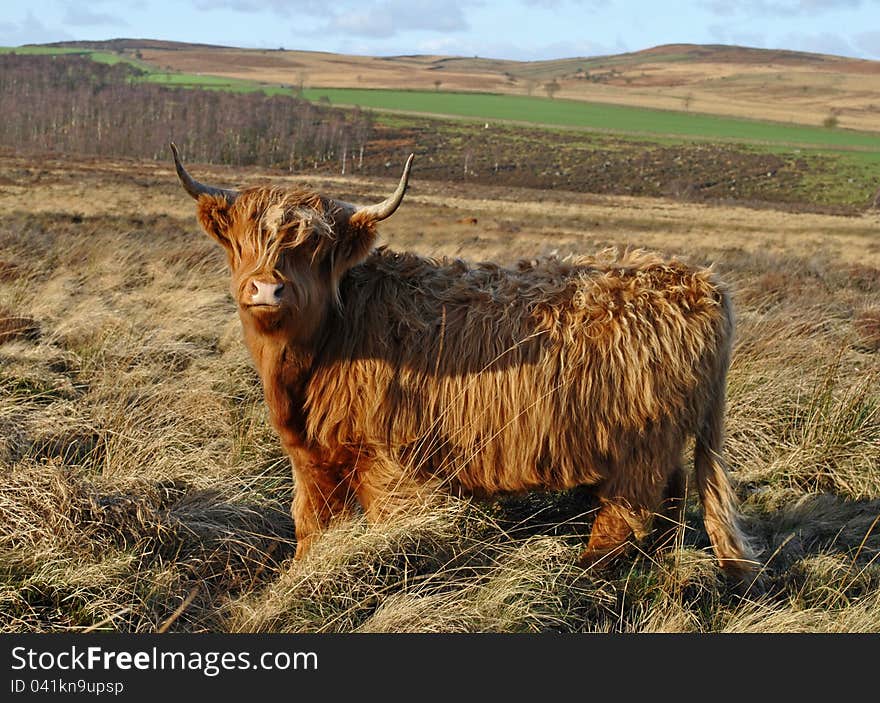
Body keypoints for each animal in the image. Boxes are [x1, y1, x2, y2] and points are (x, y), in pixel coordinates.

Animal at [170, 143, 756, 584]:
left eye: (316, 247)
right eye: (244, 240)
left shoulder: (391, 461)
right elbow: (312, 525)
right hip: (663, 444)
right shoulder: (312, 458)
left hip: (639, 447)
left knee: (626, 516)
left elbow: (386, 527)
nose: (267, 288)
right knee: (670, 503)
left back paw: (581, 573)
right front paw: (299, 576)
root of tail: (702, 282)